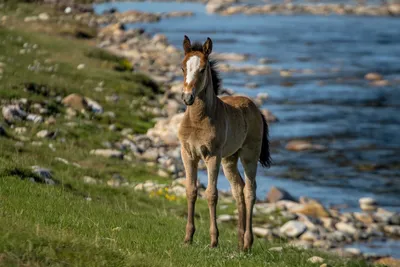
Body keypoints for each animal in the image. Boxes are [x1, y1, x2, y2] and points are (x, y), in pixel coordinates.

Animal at [178, 35, 272, 251]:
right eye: (183, 67)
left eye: (202, 69)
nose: (187, 97)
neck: (198, 120)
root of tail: (256, 109)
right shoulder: (188, 154)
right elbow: (191, 191)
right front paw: (188, 238)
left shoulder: (212, 156)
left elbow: (212, 194)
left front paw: (214, 241)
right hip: (230, 159)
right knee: (238, 189)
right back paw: (239, 242)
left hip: (249, 155)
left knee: (249, 190)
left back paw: (247, 244)